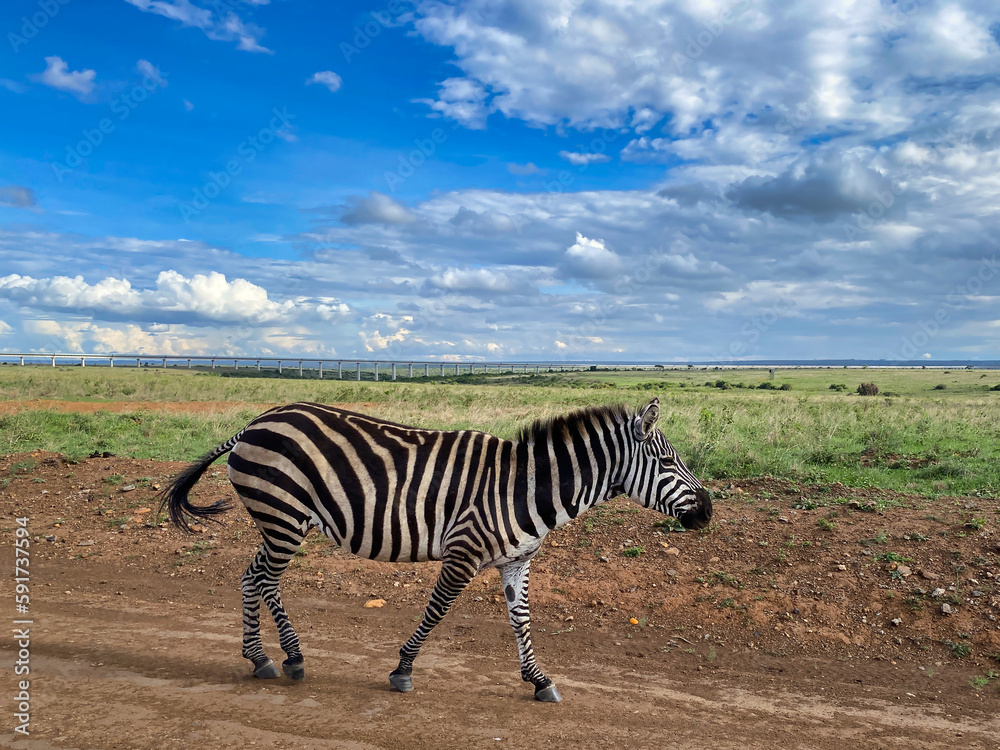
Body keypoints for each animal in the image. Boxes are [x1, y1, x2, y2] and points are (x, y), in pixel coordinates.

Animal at [160, 397, 712, 702]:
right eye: (668, 462)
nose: (708, 511)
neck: (526, 488)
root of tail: (255, 422)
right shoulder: (463, 551)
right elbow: (437, 609)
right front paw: (403, 670)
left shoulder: (517, 561)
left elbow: (521, 621)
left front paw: (539, 681)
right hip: (283, 517)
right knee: (265, 579)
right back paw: (280, 658)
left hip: (280, 522)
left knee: (253, 576)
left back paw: (268, 657)